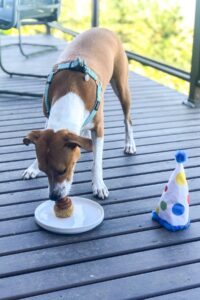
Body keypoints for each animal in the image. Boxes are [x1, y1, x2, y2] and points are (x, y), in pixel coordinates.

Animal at [23, 27, 136, 199]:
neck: (70, 92)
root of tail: (103, 29)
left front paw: (98, 184)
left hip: (122, 86)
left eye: (63, 170)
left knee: (127, 118)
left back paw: (129, 143)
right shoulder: (48, 117)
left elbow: (97, 161)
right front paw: (33, 168)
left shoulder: (99, 128)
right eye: (44, 170)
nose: (54, 196)